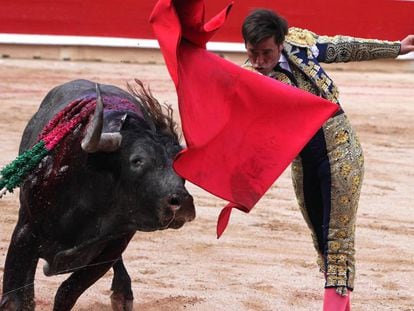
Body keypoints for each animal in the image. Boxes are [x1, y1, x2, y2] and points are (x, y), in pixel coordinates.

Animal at [0, 79, 196, 310]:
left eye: (179, 166)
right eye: (137, 160)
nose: (181, 202)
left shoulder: (114, 245)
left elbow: (67, 292)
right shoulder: (25, 230)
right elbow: (16, 299)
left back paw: (122, 296)